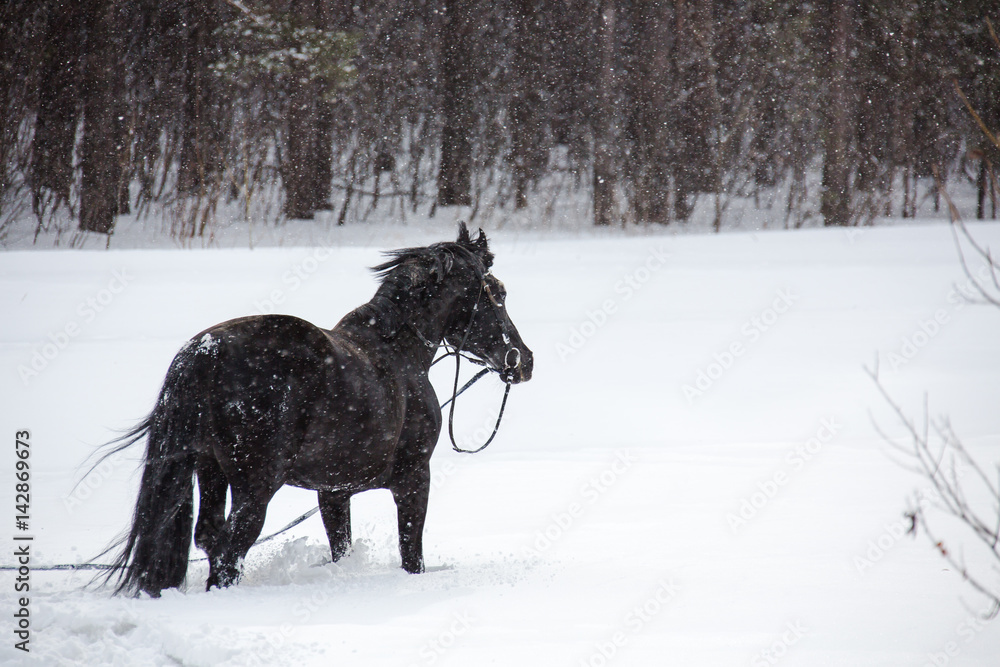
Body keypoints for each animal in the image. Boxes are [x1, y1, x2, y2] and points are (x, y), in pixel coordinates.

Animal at [98, 224, 533, 597]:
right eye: (498, 292)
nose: (523, 360)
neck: (399, 352)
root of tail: (204, 351)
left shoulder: (333, 492)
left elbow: (342, 546)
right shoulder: (413, 479)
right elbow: (412, 554)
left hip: (210, 471)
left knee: (208, 536)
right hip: (255, 487)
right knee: (227, 550)